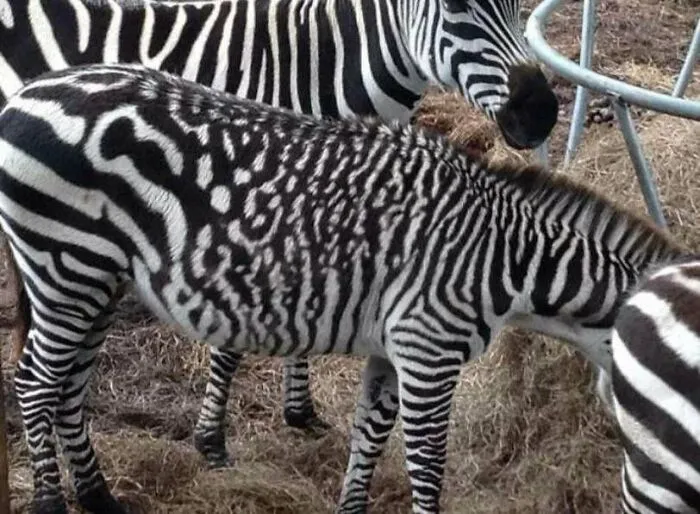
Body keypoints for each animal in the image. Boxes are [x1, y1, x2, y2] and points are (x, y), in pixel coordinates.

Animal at [0, 0, 560, 465]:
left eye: (516, 1)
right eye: (456, 6)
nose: (541, 112)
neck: (319, 67)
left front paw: (300, 411)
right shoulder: (244, 200)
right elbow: (235, 340)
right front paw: (212, 439)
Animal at [0, 63, 681, 514]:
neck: (509, 257)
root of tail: (30, 92)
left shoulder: (394, 349)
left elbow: (368, 440)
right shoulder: (429, 349)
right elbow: (426, 464)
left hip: (97, 276)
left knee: (69, 385)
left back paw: (100, 498)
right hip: (65, 264)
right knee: (36, 383)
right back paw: (52, 504)